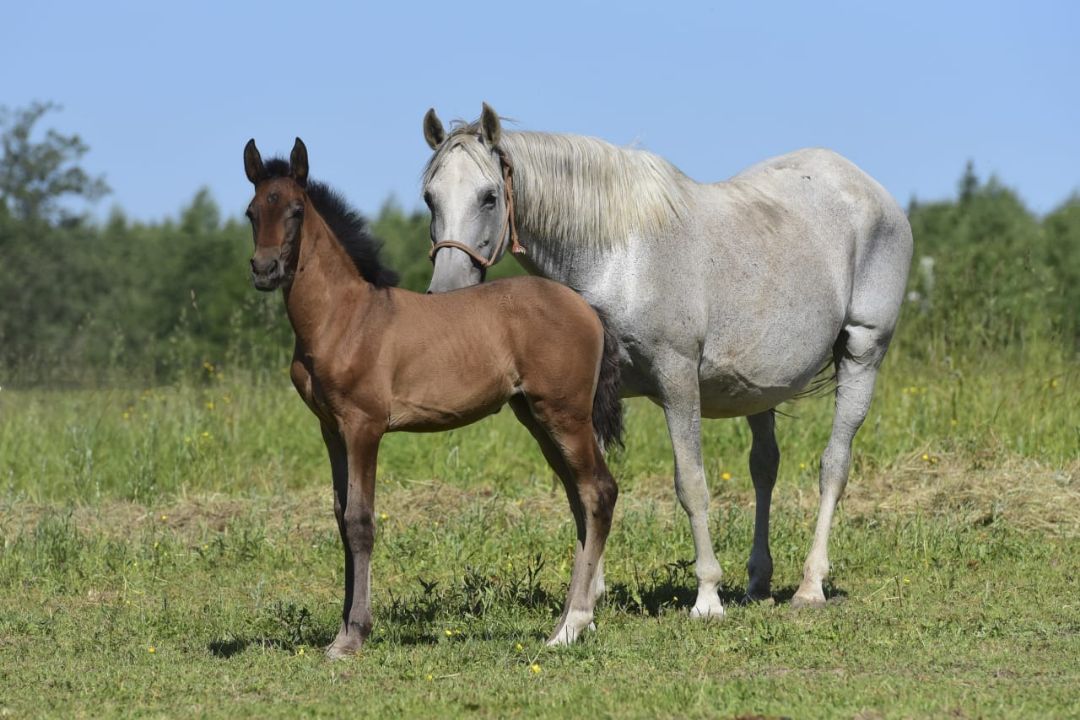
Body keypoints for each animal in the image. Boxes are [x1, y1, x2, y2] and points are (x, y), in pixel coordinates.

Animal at [242, 137, 623, 656]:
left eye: (297, 210)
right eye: (251, 212)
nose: (265, 270)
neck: (344, 318)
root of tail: (585, 307)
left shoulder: (364, 427)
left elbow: (360, 521)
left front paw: (352, 636)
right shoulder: (331, 429)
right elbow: (341, 518)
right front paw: (342, 630)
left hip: (566, 414)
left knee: (599, 491)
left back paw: (571, 626)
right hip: (537, 417)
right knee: (580, 499)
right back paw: (569, 619)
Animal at [420, 104, 913, 615]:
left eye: (489, 197)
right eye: (430, 198)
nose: (446, 294)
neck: (618, 257)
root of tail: (868, 188)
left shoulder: (677, 381)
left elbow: (690, 484)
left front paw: (708, 598)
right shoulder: (592, 396)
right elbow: (589, 486)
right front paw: (590, 593)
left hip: (862, 354)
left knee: (833, 466)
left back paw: (810, 585)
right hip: (760, 388)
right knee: (764, 468)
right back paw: (758, 582)